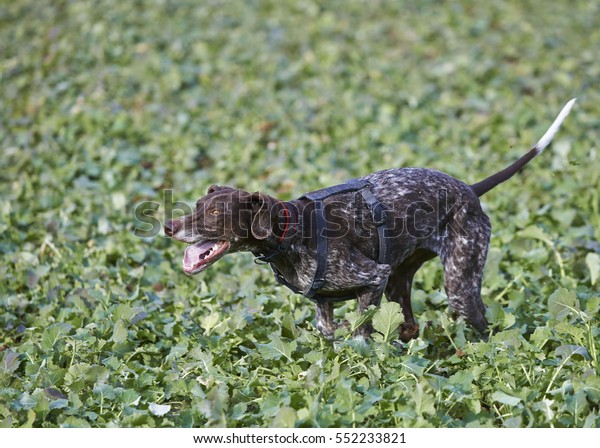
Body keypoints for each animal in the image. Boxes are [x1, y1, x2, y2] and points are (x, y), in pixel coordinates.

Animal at [164, 100, 576, 342]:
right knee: (409, 322)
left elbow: (361, 331)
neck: (292, 231)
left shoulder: (372, 279)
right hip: (399, 282)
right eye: (197, 204)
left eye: (215, 213)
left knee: (482, 326)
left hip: (459, 285)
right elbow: (330, 331)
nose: (170, 227)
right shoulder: (327, 304)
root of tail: (469, 191)